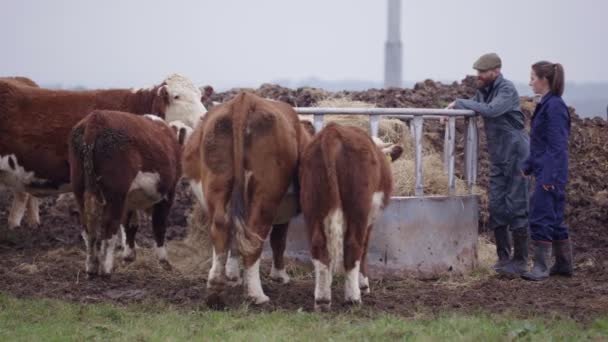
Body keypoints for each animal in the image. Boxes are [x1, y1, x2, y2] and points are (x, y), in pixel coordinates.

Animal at [69, 111, 183, 276]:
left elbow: (130, 224)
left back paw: (91, 267)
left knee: (88, 227)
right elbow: (159, 224)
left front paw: (129, 256)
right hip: (115, 194)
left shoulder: (129, 199)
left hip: (79, 188)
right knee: (109, 226)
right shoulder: (168, 193)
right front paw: (164, 261)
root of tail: (96, 118)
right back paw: (105, 269)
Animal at [183, 91, 312, 304]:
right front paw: (280, 276)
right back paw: (257, 294)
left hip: (217, 181)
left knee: (221, 226)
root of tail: (244, 100)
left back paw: (215, 286)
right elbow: (279, 241)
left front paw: (233, 276)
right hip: (267, 193)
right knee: (255, 234)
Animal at [300, 122, 404, 310]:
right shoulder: (370, 218)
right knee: (354, 245)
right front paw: (363, 285)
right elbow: (365, 247)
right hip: (358, 208)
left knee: (318, 246)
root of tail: (332, 133)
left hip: (312, 204)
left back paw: (322, 298)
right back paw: (353, 297)